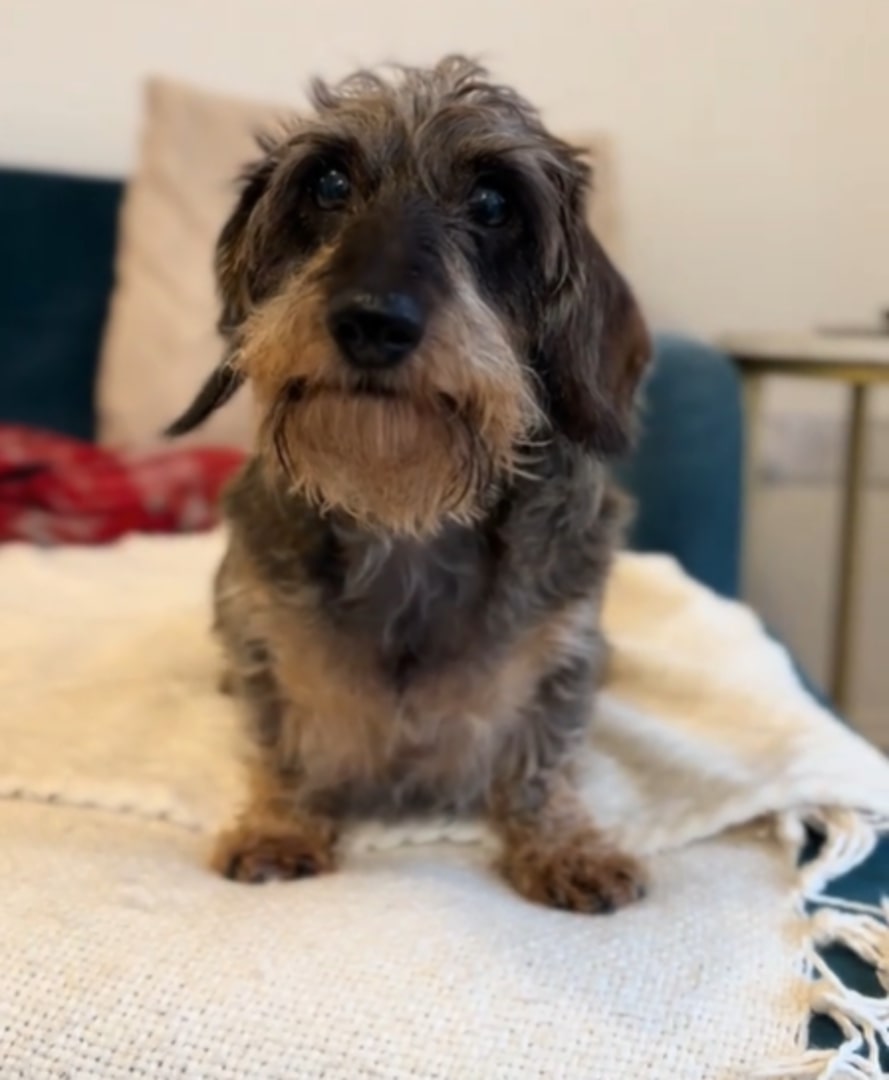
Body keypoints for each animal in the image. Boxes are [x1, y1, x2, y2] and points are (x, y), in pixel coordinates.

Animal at [168, 56, 652, 911]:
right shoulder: (262, 641)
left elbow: (543, 759)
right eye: (327, 183)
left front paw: (565, 846)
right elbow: (281, 742)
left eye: (493, 202)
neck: (405, 519)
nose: (373, 322)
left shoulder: (561, 656)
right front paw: (278, 827)